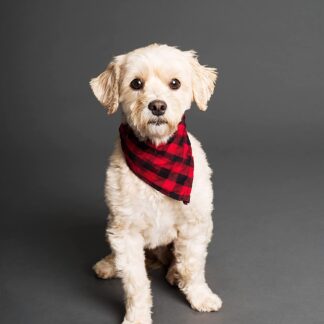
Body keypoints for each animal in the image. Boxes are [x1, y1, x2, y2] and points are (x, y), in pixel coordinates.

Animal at [91, 43, 223, 324]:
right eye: (136, 83)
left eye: (175, 83)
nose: (158, 106)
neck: (157, 152)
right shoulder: (125, 231)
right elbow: (135, 282)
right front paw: (137, 316)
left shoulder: (195, 225)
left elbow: (192, 266)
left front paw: (199, 296)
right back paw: (109, 264)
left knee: (177, 260)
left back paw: (174, 273)